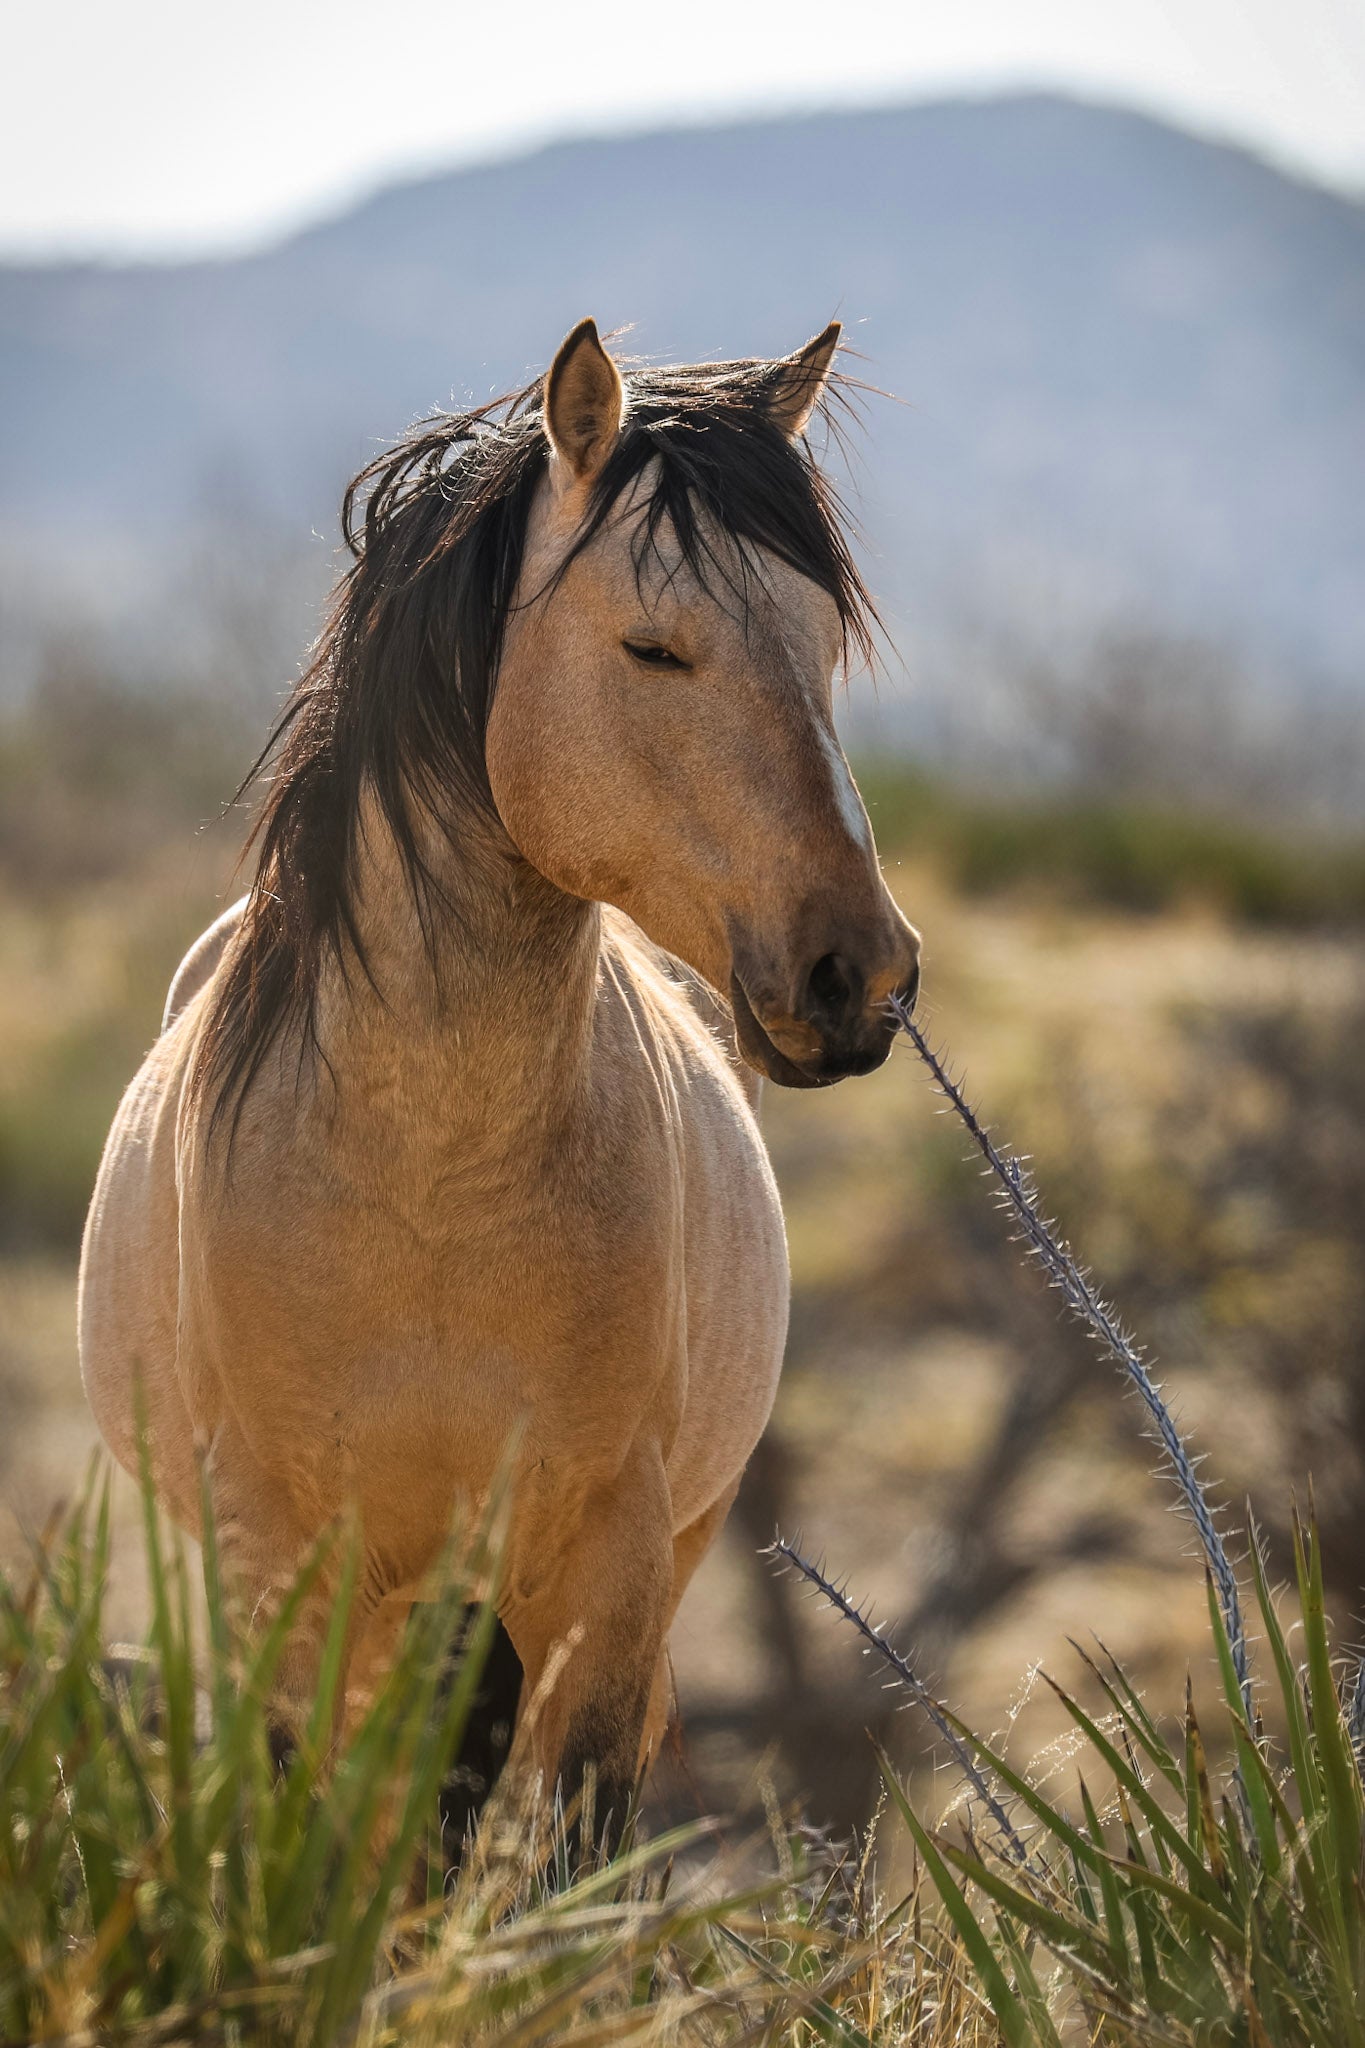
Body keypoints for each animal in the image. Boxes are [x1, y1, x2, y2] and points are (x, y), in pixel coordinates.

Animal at [80, 315, 925, 1843]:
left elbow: (565, 1851)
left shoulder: (608, 1573)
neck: (432, 1175)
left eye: (822, 639)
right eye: (653, 646)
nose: (862, 976)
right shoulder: (280, 1568)